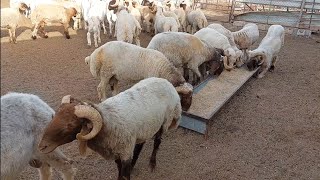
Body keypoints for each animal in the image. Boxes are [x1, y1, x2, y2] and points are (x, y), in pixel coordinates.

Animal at [38, 77, 185, 180]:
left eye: (70, 125)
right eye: (54, 116)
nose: (41, 147)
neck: (107, 123)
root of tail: (166, 82)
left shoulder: (125, 152)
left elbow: (125, 175)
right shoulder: (116, 151)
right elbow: (119, 169)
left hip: (165, 121)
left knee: (157, 142)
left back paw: (152, 164)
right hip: (144, 128)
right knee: (140, 144)